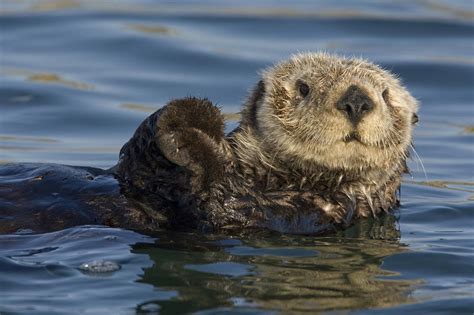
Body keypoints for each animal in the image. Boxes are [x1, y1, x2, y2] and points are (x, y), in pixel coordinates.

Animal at [0, 53, 418, 236]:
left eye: (385, 95)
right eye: (303, 88)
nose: (356, 100)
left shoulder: (299, 214)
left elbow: (215, 206)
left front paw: (189, 131)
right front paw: (197, 123)